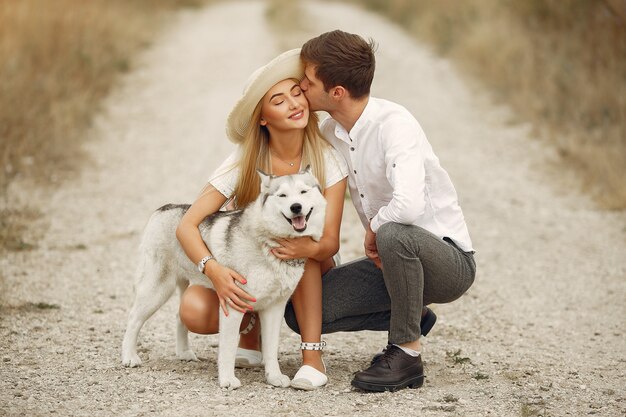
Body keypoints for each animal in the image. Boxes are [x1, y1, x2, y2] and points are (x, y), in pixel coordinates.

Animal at [121, 167, 326, 388]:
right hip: (157, 289)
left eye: (303, 192)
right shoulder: (233, 305)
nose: (296, 207)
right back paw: (129, 356)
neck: (267, 243)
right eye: (282, 196)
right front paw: (227, 379)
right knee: (133, 319)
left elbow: (271, 349)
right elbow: (227, 349)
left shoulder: (274, 308)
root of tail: (164, 208)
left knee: (178, 316)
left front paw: (274, 377)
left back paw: (184, 352)